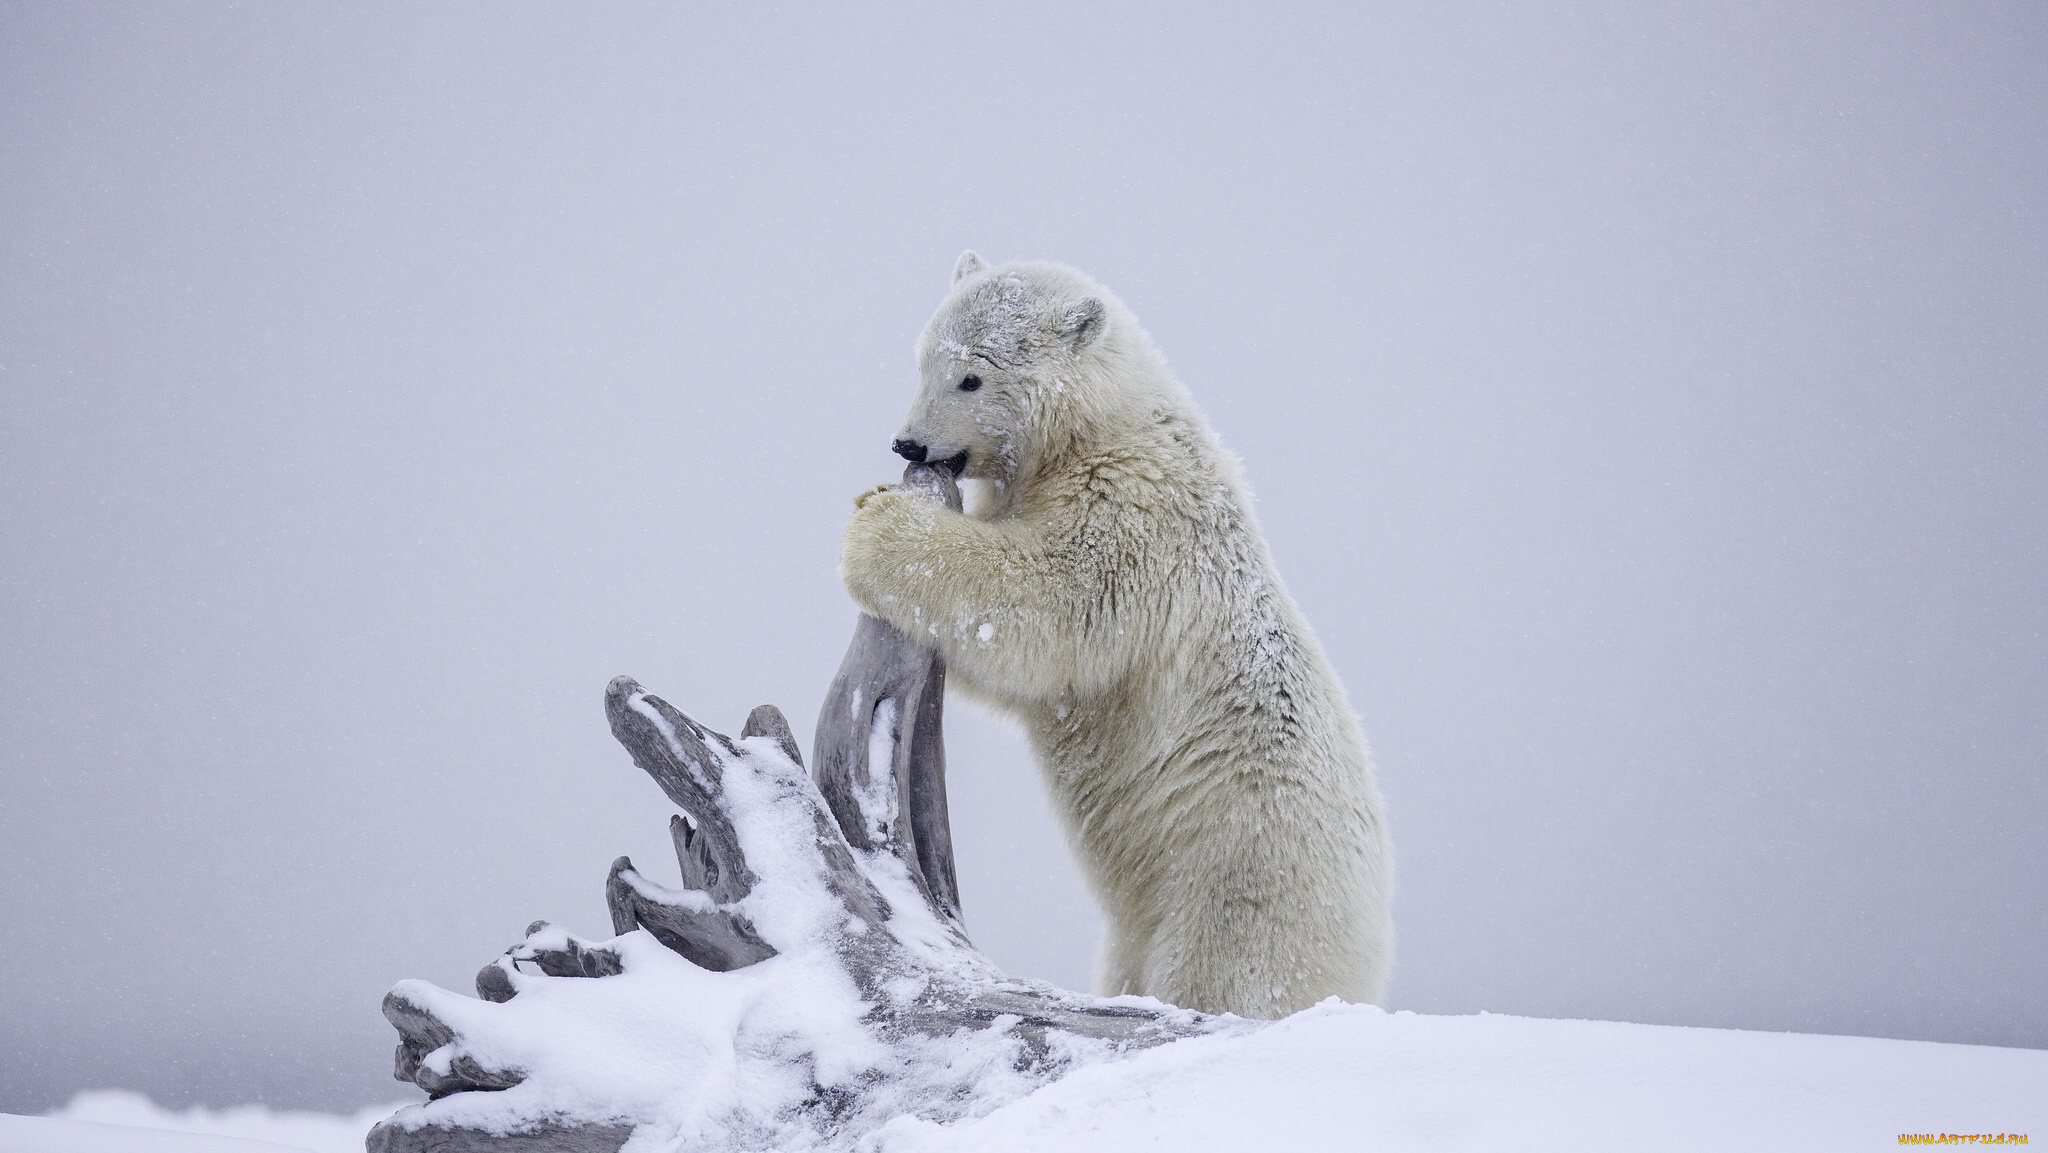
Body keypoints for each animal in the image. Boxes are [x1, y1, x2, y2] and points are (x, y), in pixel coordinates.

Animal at [835, 254, 1392, 1019]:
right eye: (922, 360)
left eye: (971, 376)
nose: (908, 443)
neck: (1100, 427)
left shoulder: (1133, 513)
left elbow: (1047, 609)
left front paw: (878, 527)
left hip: (1239, 877)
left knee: (1223, 974)